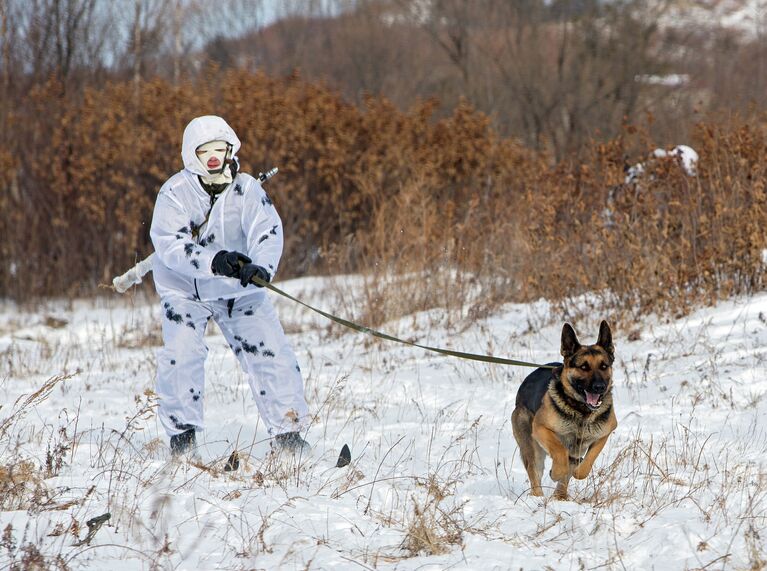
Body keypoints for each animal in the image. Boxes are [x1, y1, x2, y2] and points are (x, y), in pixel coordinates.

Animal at [512, 322, 620, 500]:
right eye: (584, 367)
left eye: (604, 366)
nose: (599, 387)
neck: (581, 411)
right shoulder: (541, 428)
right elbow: (559, 450)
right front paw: (556, 472)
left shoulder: (603, 435)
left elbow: (588, 461)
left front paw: (577, 472)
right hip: (531, 448)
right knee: (535, 472)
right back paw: (539, 496)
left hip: (576, 450)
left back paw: (560, 495)